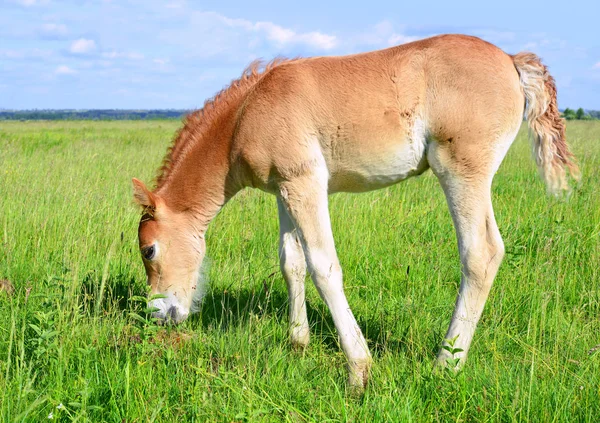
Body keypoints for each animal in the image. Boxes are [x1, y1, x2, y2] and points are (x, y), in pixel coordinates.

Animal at [134, 34, 580, 390]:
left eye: (149, 250)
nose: (158, 314)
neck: (247, 112)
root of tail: (510, 59)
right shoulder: (283, 189)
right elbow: (291, 262)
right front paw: (298, 343)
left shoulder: (305, 183)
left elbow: (323, 267)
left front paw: (359, 370)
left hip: (461, 169)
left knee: (481, 253)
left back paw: (446, 363)